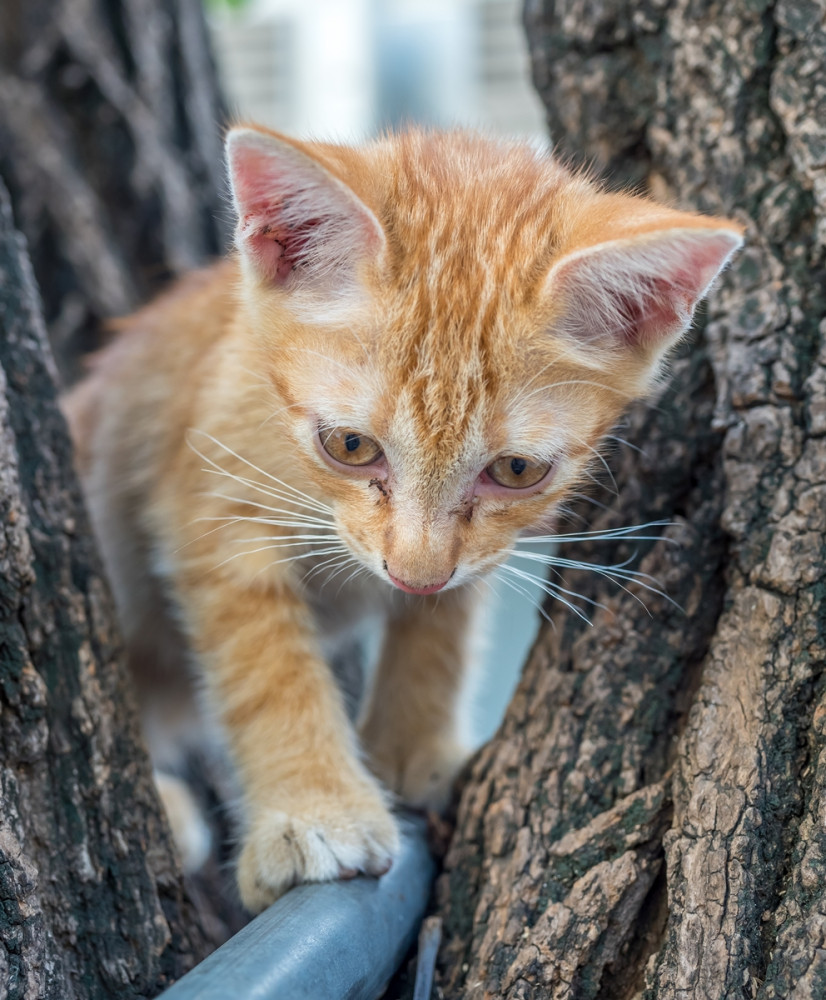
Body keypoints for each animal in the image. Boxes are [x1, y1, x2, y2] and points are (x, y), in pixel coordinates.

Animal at [62, 121, 740, 912]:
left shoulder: (466, 553)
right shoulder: (208, 495)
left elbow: (447, 616)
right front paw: (317, 814)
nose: (412, 573)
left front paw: (414, 747)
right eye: (350, 446)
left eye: (517, 470)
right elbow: (265, 664)